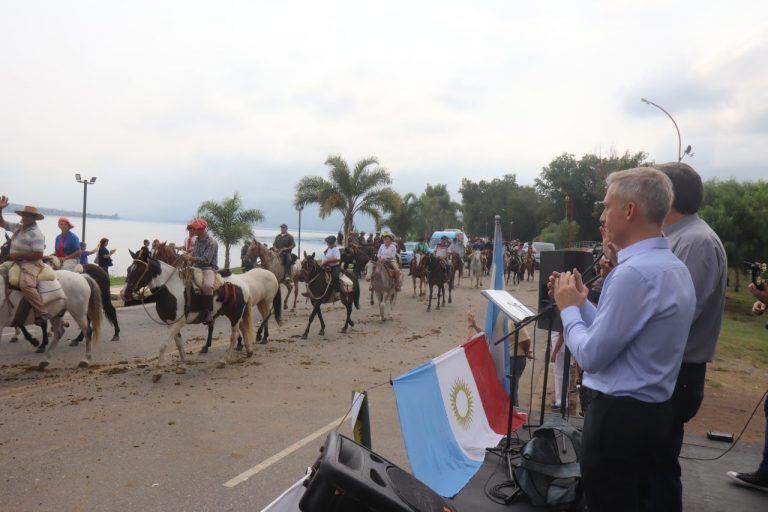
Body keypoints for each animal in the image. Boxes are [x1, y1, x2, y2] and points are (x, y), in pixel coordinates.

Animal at [124, 246, 255, 382]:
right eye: (128, 269)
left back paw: (224, 360)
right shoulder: (170, 323)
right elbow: (179, 344)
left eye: (139, 270)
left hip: (235, 315)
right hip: (234, 315)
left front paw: (158, 372)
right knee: (243, 328)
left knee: (234, 336)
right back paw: (249, 350)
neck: (170, 289)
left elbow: (163, 345)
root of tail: (243, 283)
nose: (125, 294)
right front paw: (182, 365)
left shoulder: (178, 322)